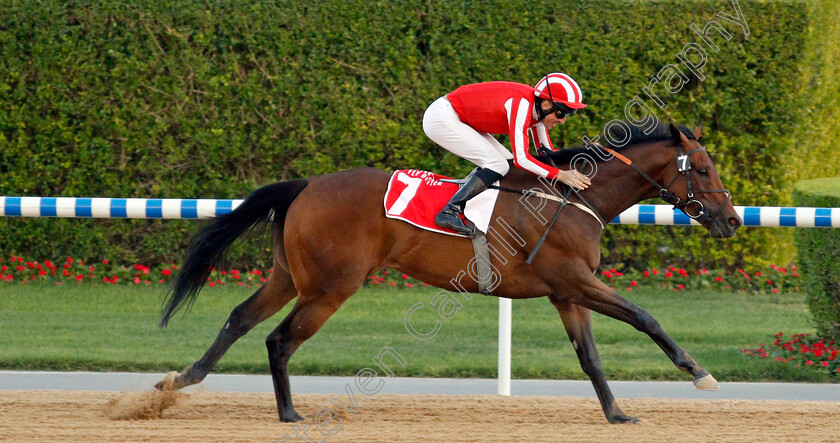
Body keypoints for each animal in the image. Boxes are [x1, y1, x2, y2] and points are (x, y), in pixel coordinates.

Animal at [156, 121, 740, 424]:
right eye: (703, 168)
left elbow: (590, 356)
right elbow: (644, 316)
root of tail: (307, 184)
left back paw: (180, 380)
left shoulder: (566, 293)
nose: (733, 219)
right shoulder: (576, 282)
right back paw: (289, 414)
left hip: (290, 276)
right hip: (330, 286)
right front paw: (699, 372)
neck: (575, 199)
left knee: (239, 318)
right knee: (279, 340)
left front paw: (617, 414)